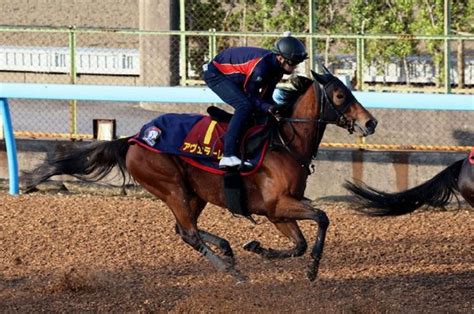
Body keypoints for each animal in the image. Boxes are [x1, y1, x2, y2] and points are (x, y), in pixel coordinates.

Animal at [23, 68, 378, 282]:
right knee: (189, 232)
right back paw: (231, 269)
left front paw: (259, 249)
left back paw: (228, 251)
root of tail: (135, 138)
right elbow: (322, 218)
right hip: (172, 187)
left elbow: (300, 243)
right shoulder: (278, 205)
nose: (370, 122)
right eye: (340, 95)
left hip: (193, 194)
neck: (284, 142)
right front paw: (313, 269)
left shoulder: (278, 212)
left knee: (182, 229)